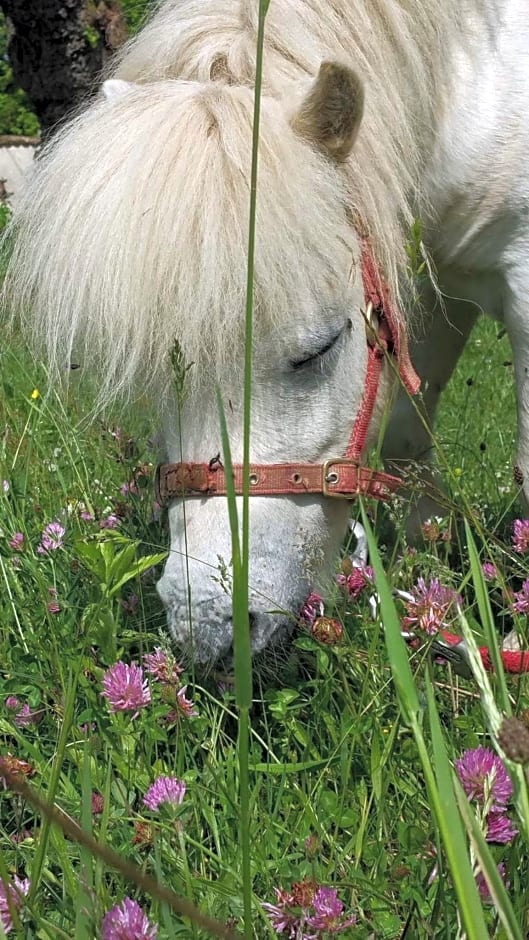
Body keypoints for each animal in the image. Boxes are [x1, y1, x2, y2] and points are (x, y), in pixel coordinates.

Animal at [4, 0, 528, 664]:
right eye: (158, 376)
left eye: (318, 350)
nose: (209, 626)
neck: (471, 80)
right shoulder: (425, 280)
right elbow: (407, 441)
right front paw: (428, 580)